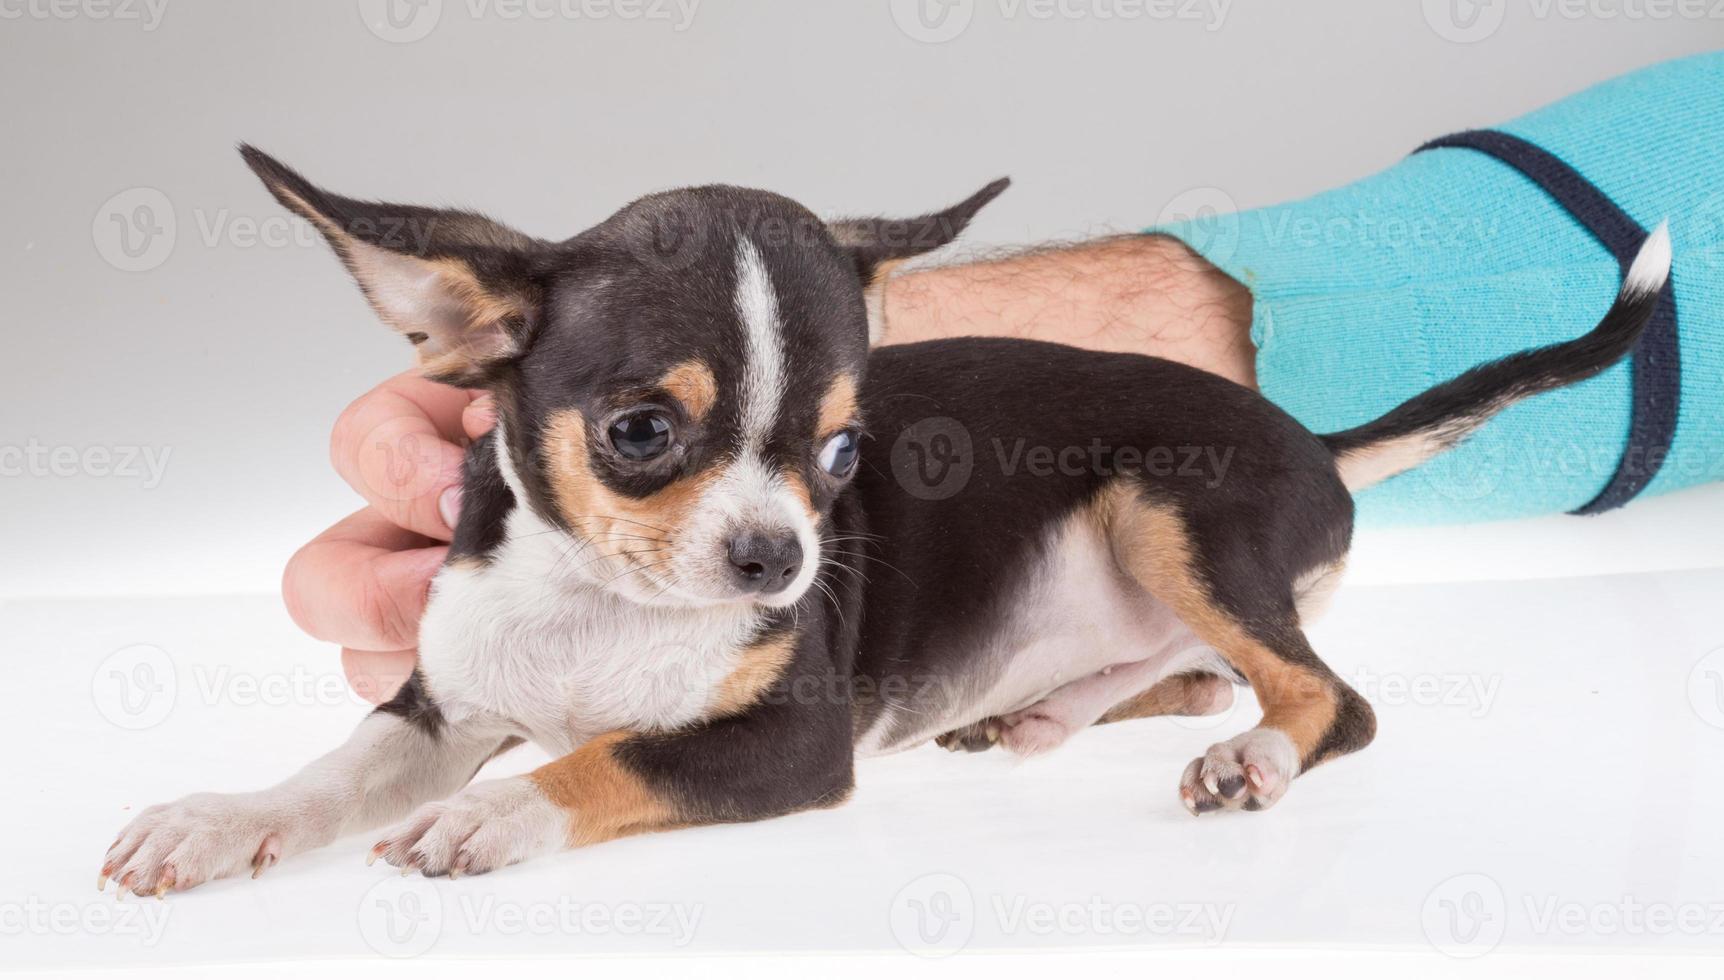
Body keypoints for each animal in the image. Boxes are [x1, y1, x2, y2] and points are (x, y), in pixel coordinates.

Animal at [97, 147, 1668, 897]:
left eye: (844, 448)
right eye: (640, 433)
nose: (782, 558)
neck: (608, 608)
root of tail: (1311, 435)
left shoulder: (791, 742)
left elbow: (607, 759)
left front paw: (493, 814)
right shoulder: (438, 699)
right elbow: (333, 774)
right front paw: (217, 820)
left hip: (1171, 510)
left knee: (1321, 695)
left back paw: (1252, 759)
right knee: (1201, 671)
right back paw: (1037, 713)